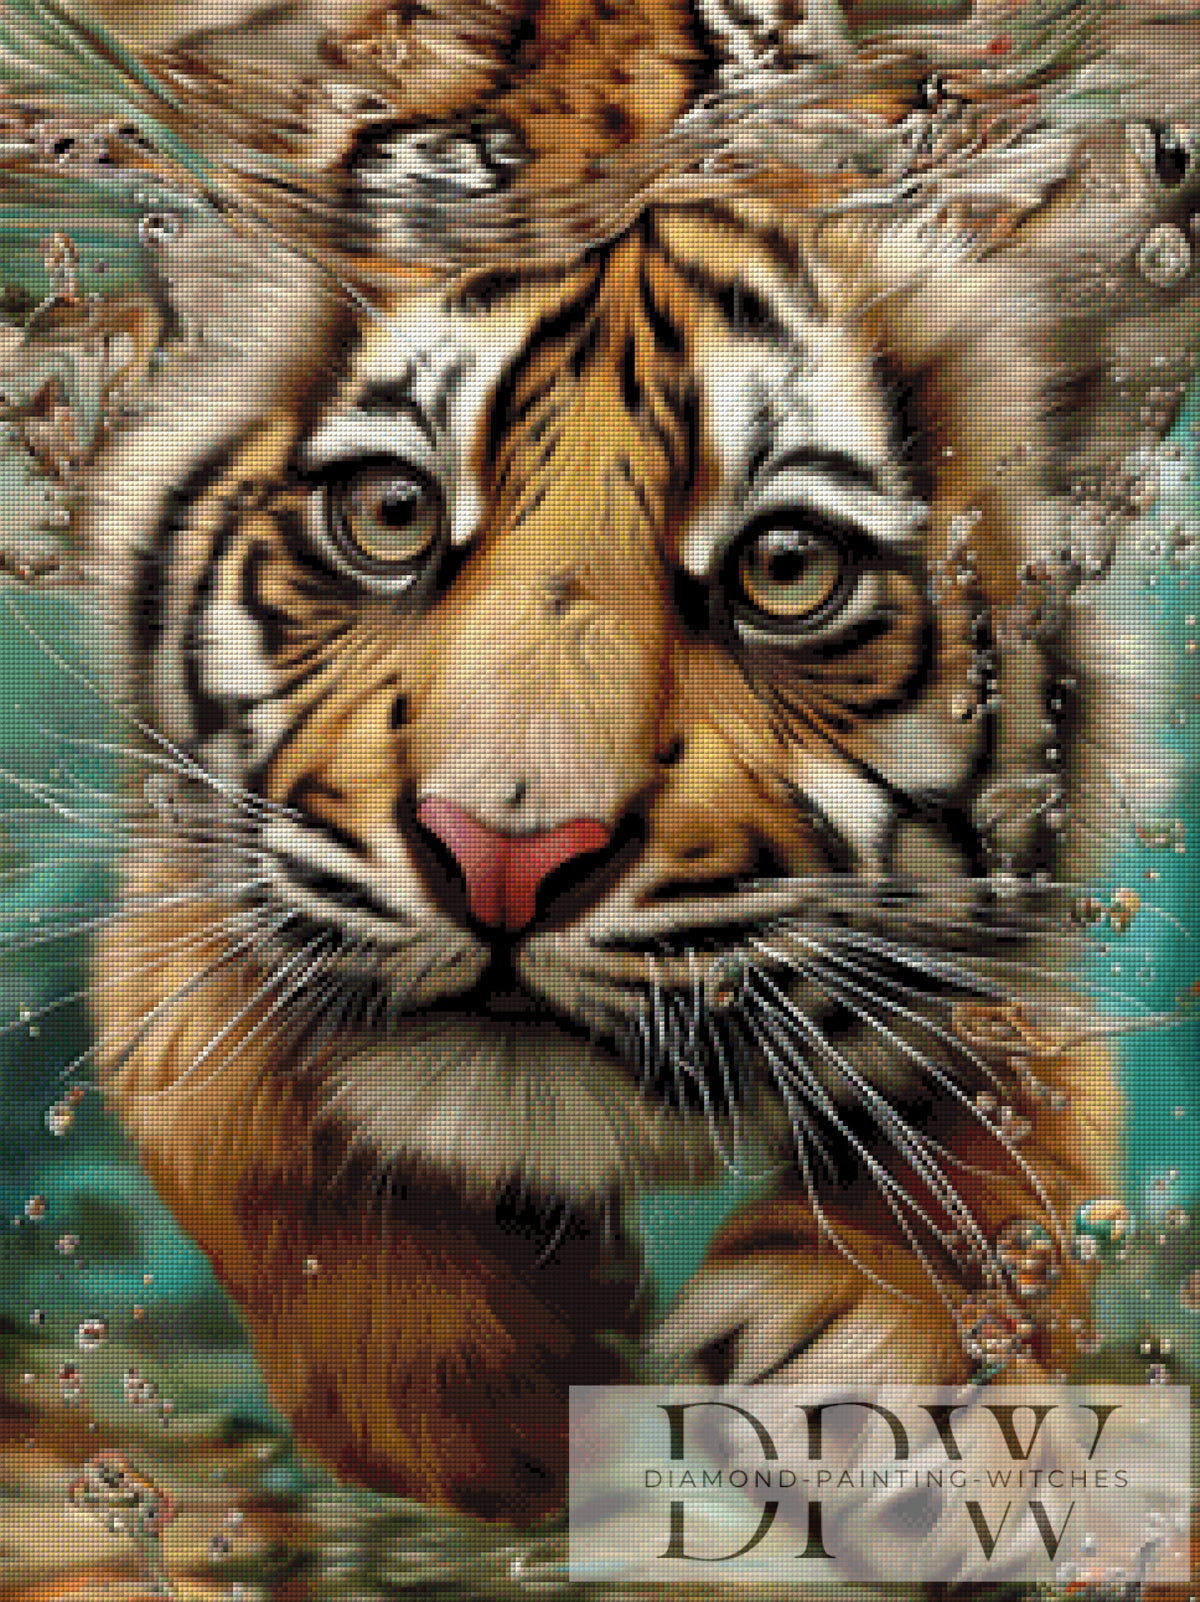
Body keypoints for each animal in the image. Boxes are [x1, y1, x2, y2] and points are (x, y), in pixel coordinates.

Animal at [22, 0, 1194, 1532]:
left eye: (786, 567)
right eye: (390, 513)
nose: (504, 859)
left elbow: (1037, 1074)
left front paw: (901, 1363)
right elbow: (184, 1056)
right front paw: (488, 1383)